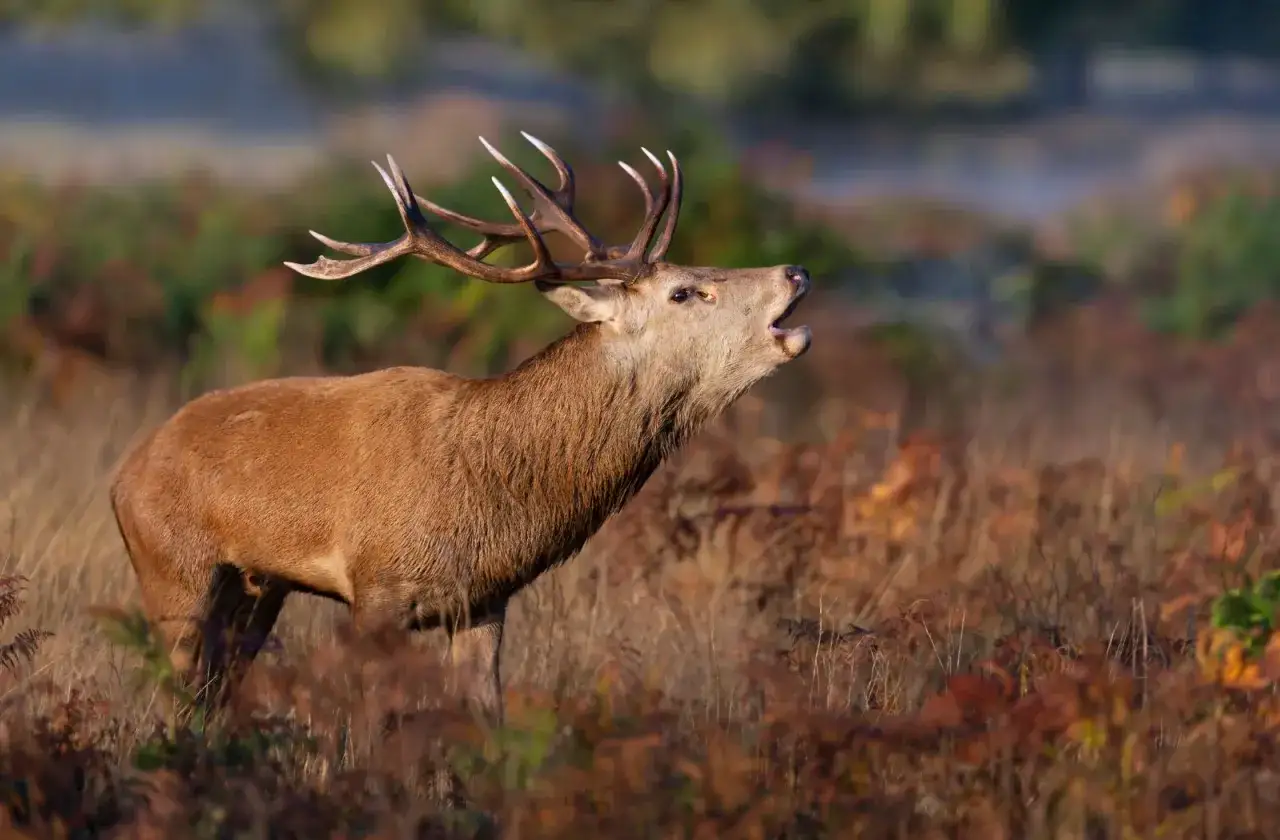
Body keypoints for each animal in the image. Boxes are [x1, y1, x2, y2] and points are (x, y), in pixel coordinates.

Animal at [109, 132, 812, 725]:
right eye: (685, 292)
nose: (795, 271)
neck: (488, 503)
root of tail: (123, 474)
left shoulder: (485, 603)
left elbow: (485, 720)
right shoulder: (375, 588)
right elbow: (363, 721)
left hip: (257, 587)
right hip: (173, 568)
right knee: (179, 690)